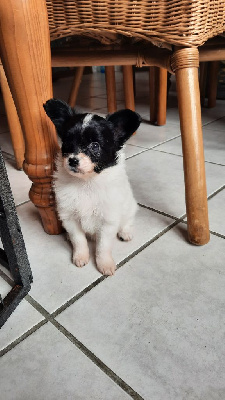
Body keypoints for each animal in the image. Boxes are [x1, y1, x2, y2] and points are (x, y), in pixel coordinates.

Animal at [43, 99, 141, 276]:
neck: (86, 183)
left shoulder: (108, 221)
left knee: (128, 220)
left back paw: (125, 232)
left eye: (95, 145)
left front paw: (105, 264)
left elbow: (103, 247)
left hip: (130, 206)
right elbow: (78, 240)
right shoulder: (69, 217)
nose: (72, 160)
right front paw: (81, 256)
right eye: (67, 143)